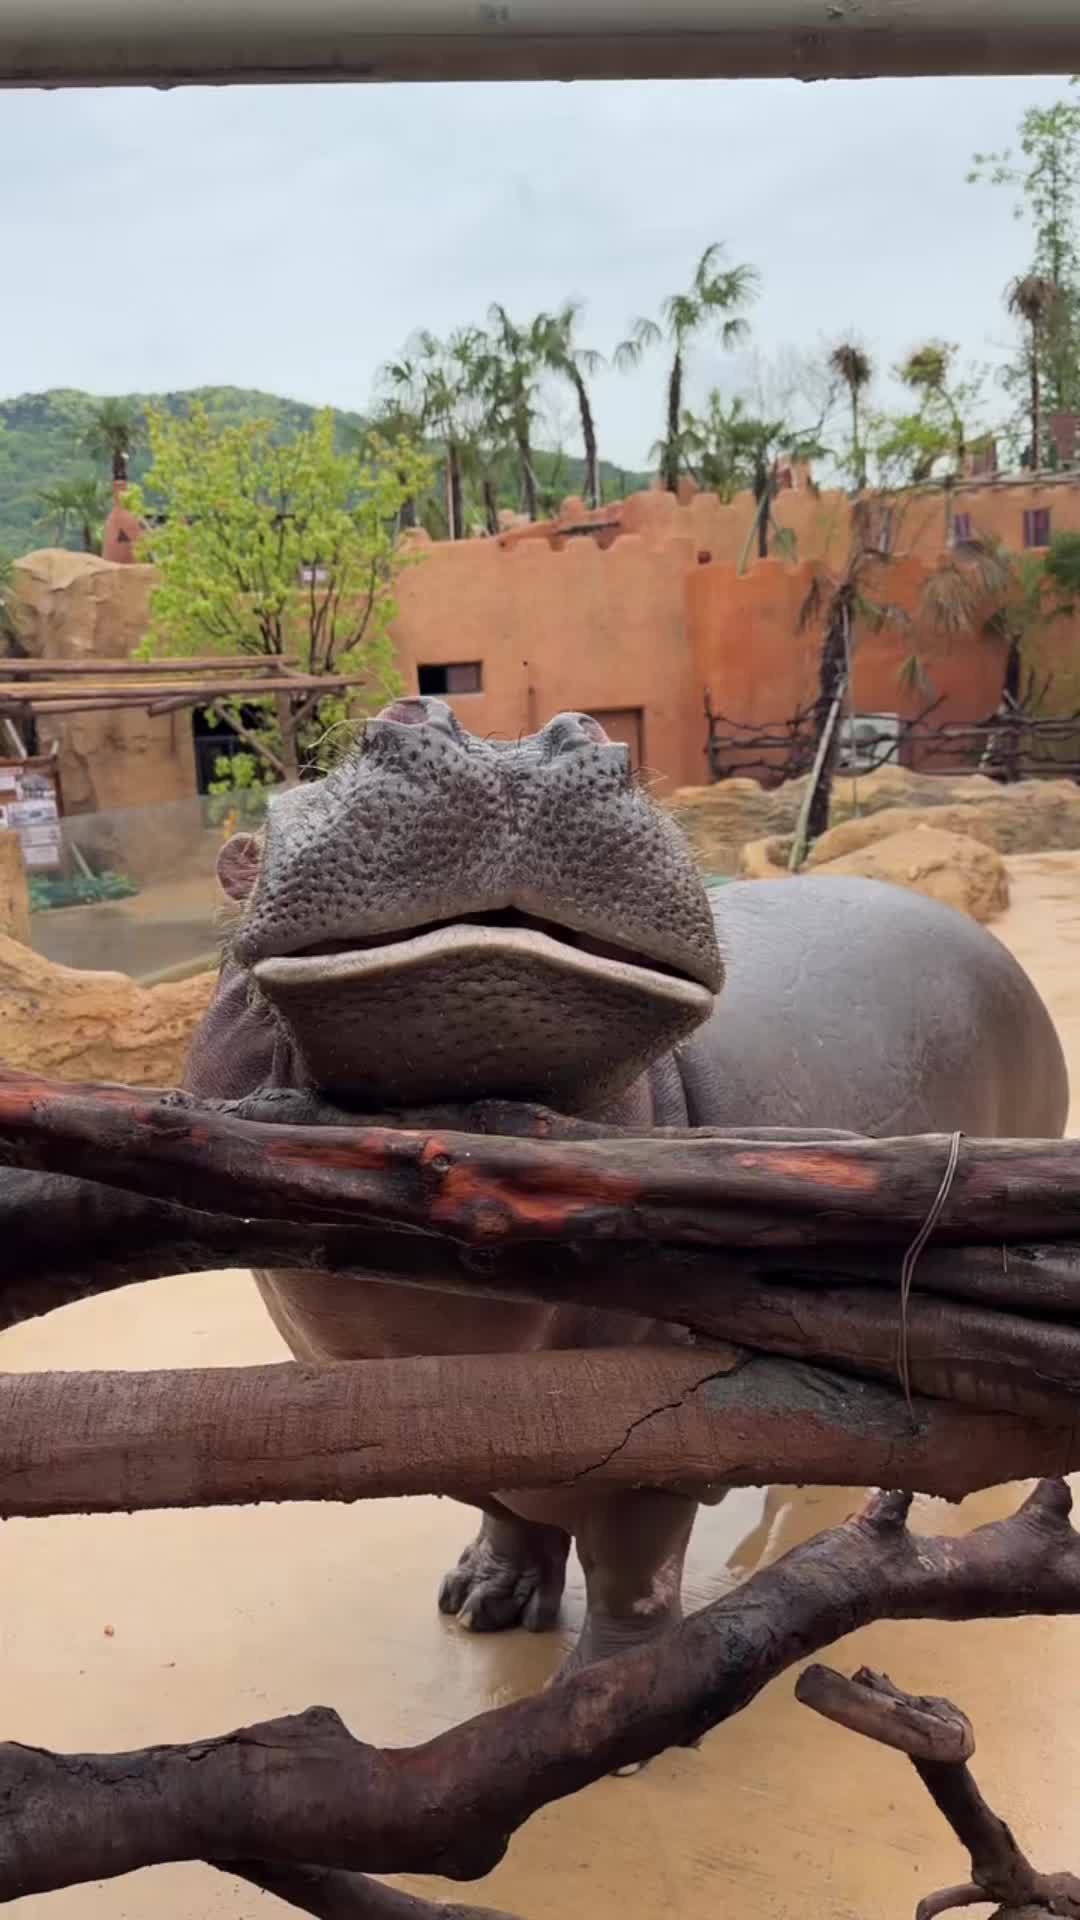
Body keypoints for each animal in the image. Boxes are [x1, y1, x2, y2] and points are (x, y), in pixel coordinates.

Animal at [184, 698, 1068, 1670]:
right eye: (241, 861)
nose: (513, 753)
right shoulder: (438, 1431)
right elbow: (509, 1515)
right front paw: (482, 1601)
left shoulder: (664, 1435)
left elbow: (633, 1571)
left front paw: (614, 1680)